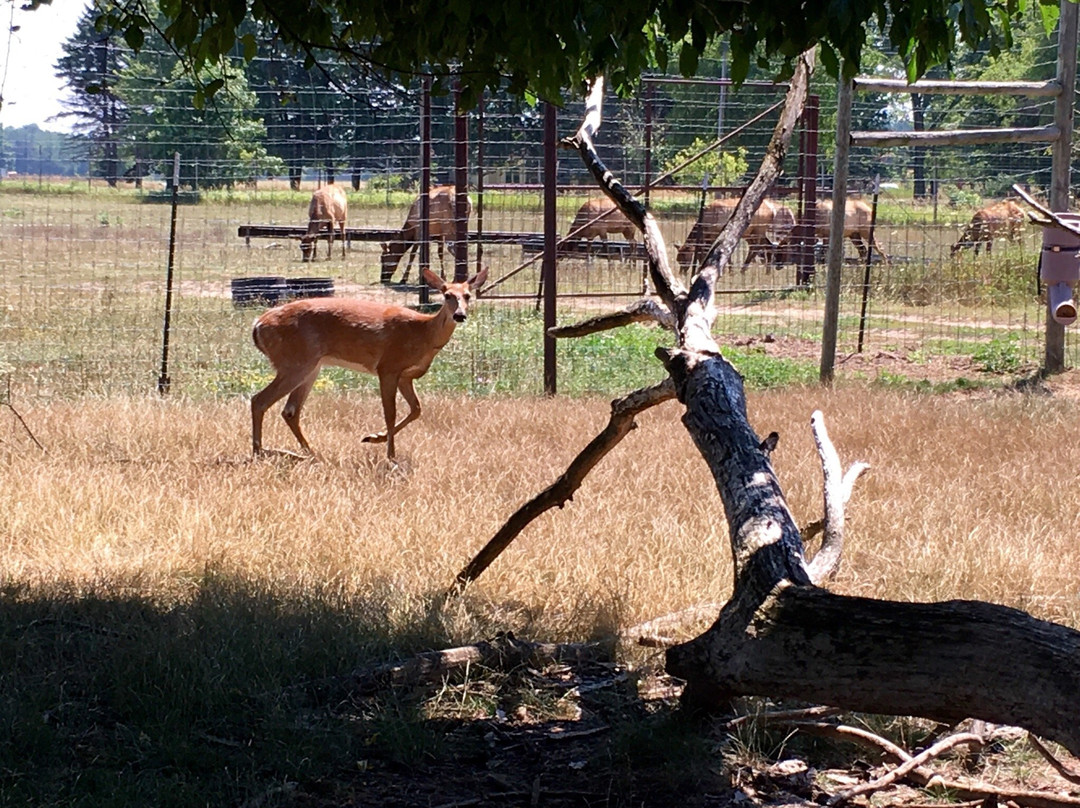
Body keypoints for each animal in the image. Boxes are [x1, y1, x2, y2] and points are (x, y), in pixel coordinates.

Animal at [250, 266, 488, 460]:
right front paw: (390, 456)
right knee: (259, 400)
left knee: (290, 411)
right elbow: (390, 413)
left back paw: (308, 453)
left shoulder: (406, 376)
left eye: (467, 295)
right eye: (447, 295)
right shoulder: (388, 367)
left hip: (310, 366)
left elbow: (416, 409)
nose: (459, 315)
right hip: (295, 362)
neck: (423, 333)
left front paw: (374, 438)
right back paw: (261, 452)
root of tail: (258, 325)